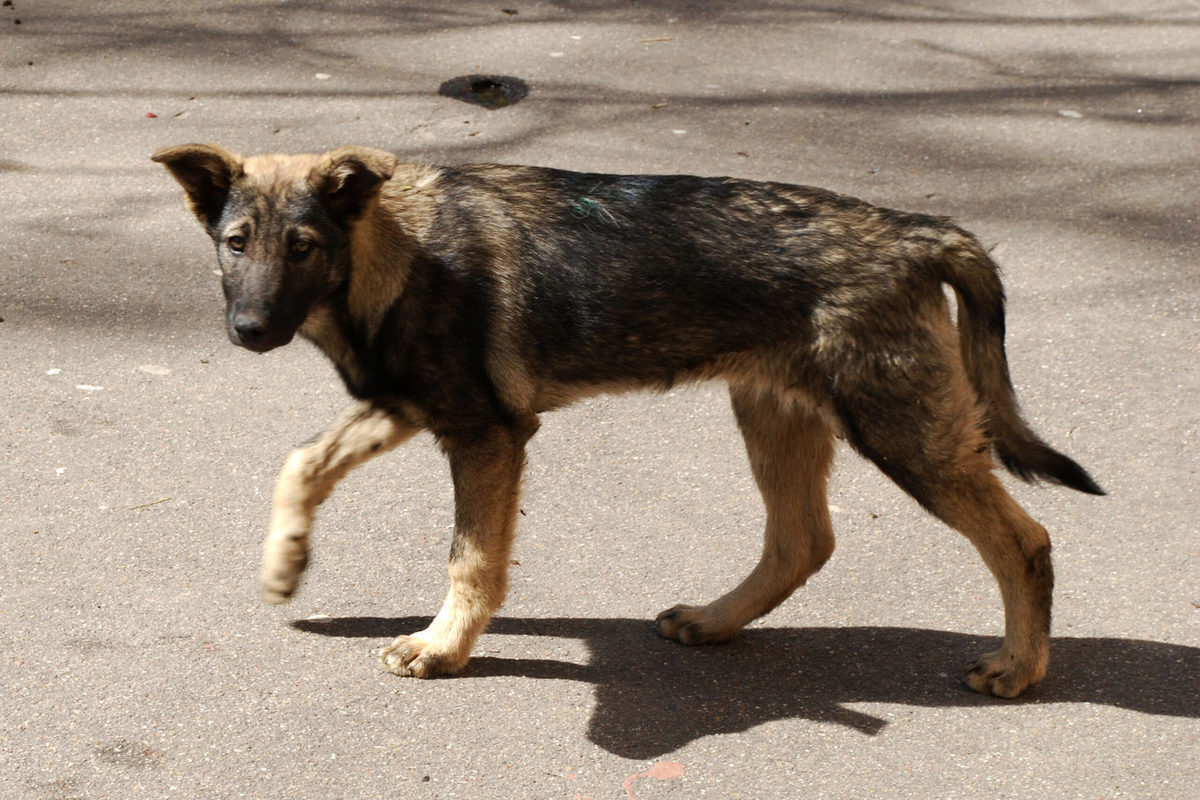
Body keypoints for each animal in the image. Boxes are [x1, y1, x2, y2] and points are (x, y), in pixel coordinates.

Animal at [152, 140, 1104, 695]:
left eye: (303, 247)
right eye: (236, 244)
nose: (249, 330)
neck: (395, 248)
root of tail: (913, 231)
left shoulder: (486, 434)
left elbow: (470, 560)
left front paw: (442, 648)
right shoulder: (412, 405)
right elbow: (303, 461)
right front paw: (286, 564)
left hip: (903, 432)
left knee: (1024, 541)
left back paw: (1020, 666)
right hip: (777, 416)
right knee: (803, 541)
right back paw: (715, 621)